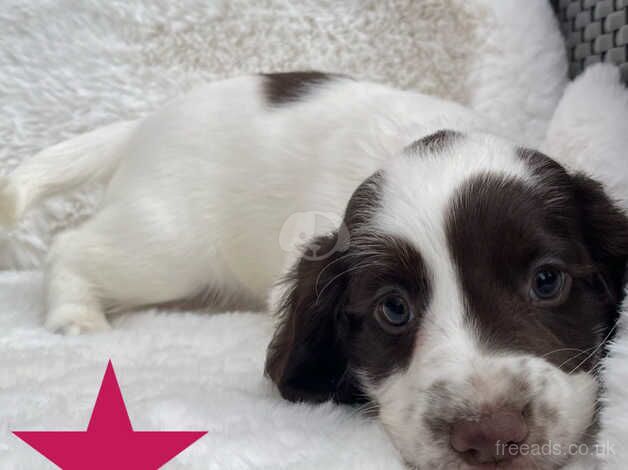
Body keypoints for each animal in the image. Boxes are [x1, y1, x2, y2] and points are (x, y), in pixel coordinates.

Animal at [1, 71, 628, 468]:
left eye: (547, 281)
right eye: (393, 309)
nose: (491, 437)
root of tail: (143, 125)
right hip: (167, 244)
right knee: (74, 245)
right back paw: (76, 317)